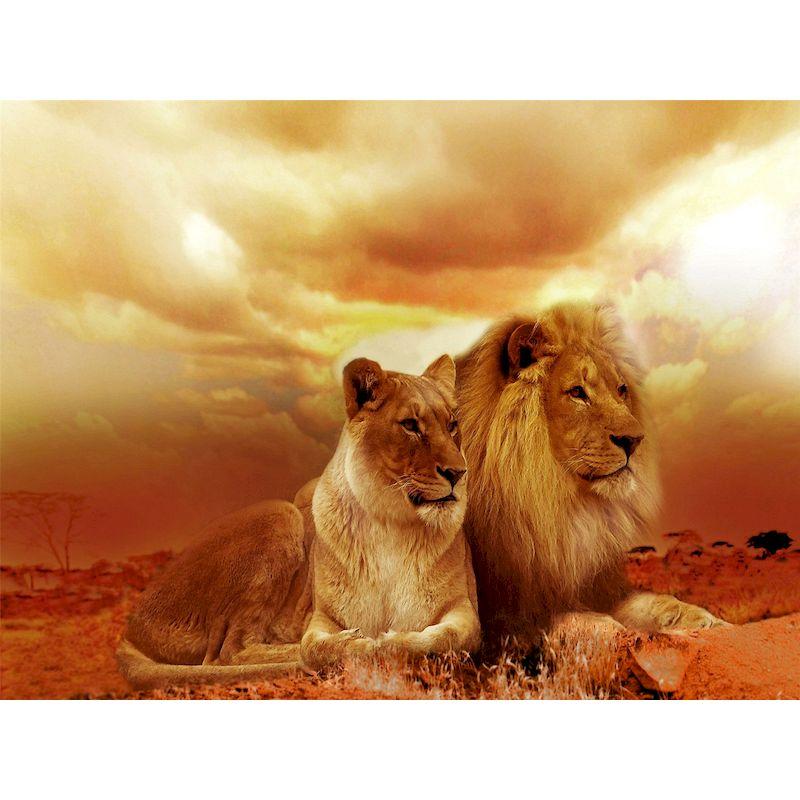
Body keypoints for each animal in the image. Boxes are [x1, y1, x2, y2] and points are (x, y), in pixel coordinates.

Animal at [455, 302, 726, 647]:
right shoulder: (504, 618)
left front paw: (703, 618)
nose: (634, 440)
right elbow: (574, 617)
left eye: (621, 390)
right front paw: (615, 634)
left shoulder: (598, 588)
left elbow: (652, 601)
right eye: (577, 392)